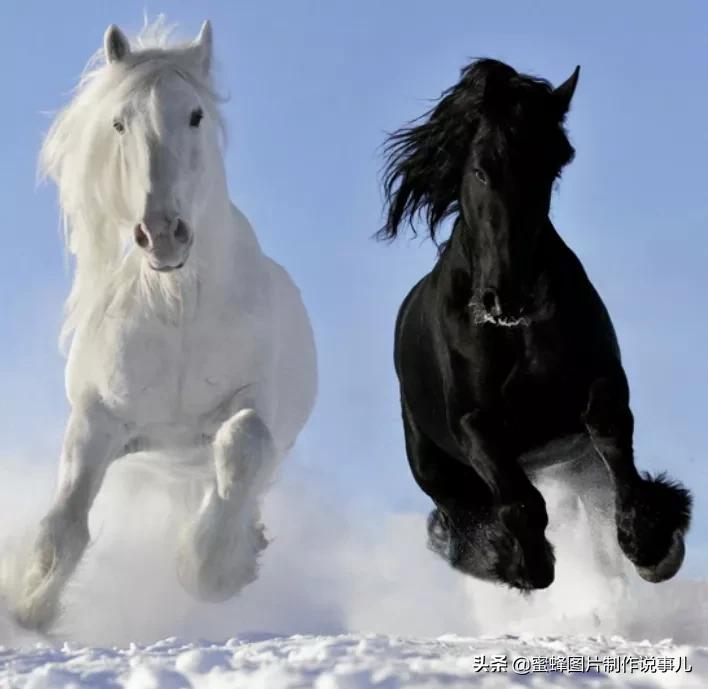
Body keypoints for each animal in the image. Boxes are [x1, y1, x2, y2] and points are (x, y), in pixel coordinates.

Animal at [13, 20, 317, 630]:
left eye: (196, 115)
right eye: (118, 122)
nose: (161, 234)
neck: (177, 308)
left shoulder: (256, 403)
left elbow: (244, 444)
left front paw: (212, 570)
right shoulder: (98, 420)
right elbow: (63, 526)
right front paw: (31, 609)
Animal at [379, 59, 692, 591]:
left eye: (550, 168)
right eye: (481, 169)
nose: (507, 297)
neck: (514, 332)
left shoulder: (601, 382)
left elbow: (613, 438)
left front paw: (652, 545)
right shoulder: (473, 423)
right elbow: (519, 502)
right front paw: (525, 564)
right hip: (436, 470)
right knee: (464, 518)